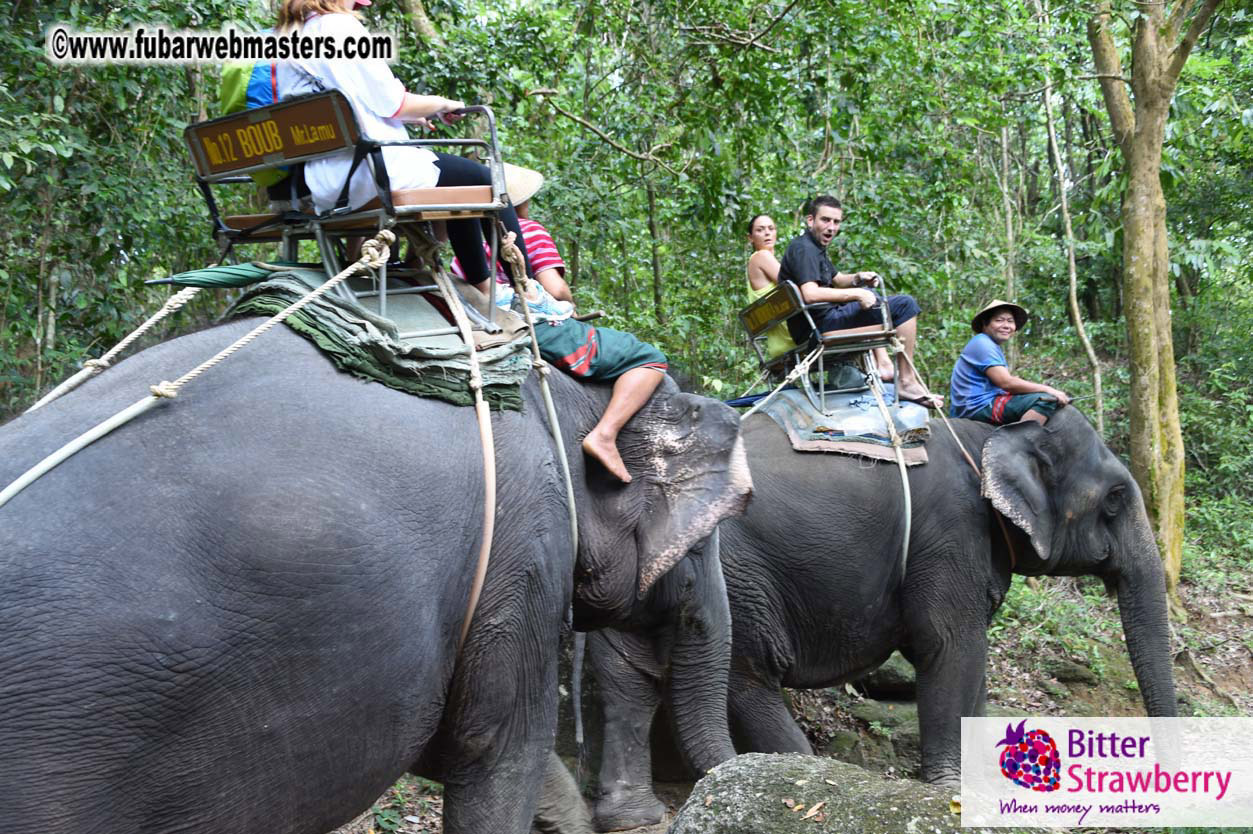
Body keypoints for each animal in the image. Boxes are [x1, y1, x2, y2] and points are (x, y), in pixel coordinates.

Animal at [589, 404, 1176, 823]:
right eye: (1116, 499)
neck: (993, 435)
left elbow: (970, 661)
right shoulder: (950, 534)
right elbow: (948, 646)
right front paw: (950, 790)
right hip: (736, 576)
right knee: (748, 674)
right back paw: (804, 770)